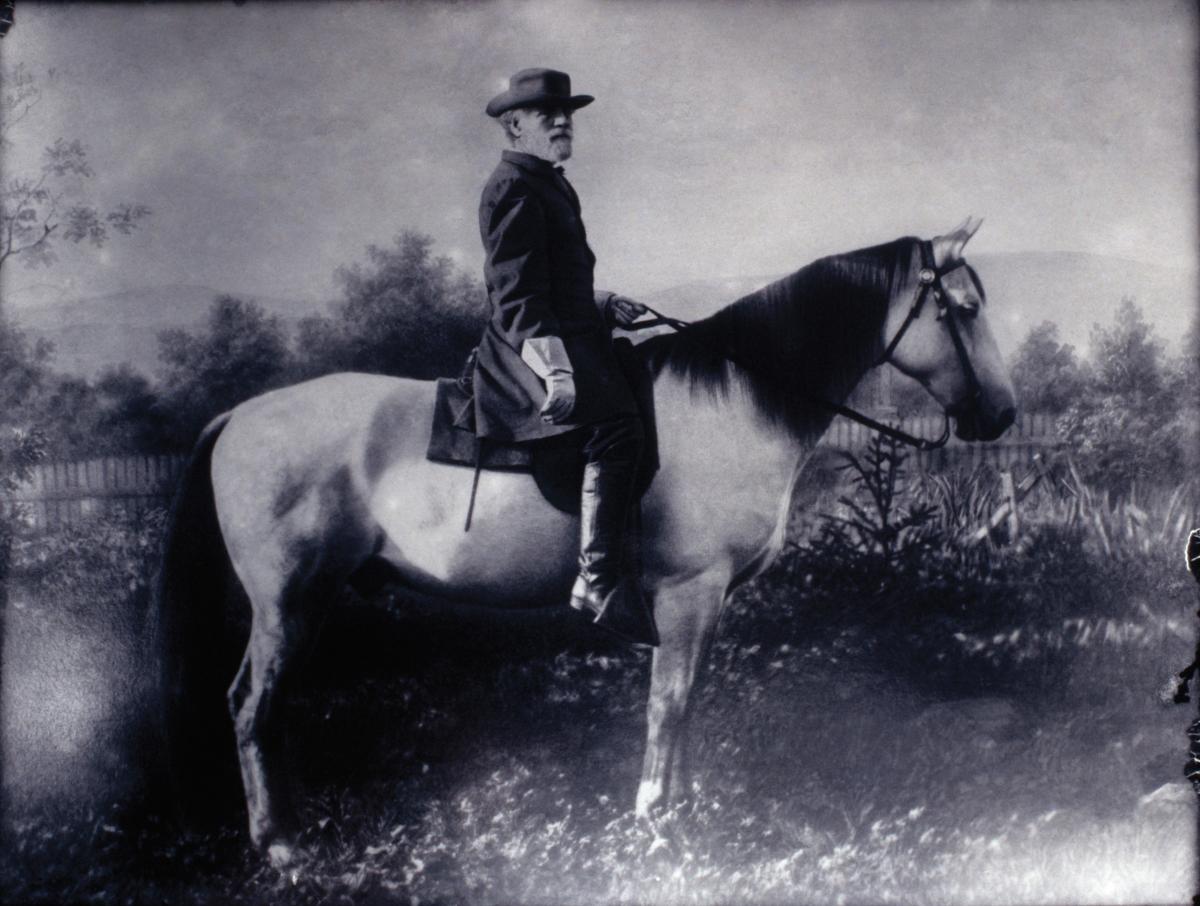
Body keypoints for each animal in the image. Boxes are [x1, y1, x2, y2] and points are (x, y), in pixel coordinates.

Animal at [150, 218, 1012, 864]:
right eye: (965, 308)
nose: (1000, 415)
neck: (738, 400)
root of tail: (240, 415)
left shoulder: (704, 603)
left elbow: (687, 701)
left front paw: (685, 807)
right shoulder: (688, 592)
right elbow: (669, 701)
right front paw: (657, 819)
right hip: (288, 603)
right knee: (252, 704)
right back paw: (281, 843)